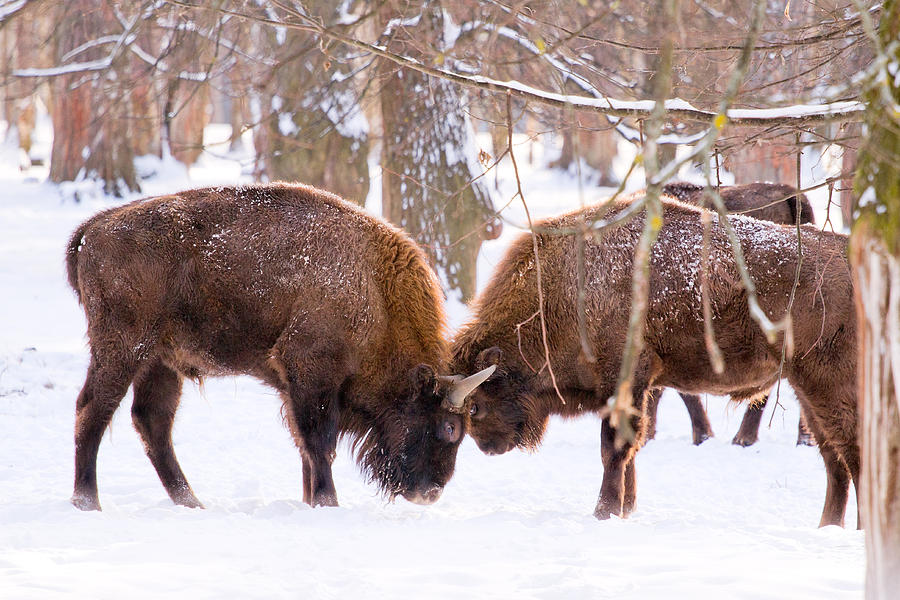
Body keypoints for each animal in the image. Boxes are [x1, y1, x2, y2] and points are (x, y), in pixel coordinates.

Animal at [67, 182, 496, 510]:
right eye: (449, 427)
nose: (431, 492)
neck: (374, 288)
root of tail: (94, 228)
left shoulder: (296, 388)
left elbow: (306, 448)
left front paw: (310, 501)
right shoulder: (311, 374)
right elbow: (319, 443)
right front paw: (327, 502)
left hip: (160, 362)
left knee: (152, 422)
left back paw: (191, 502)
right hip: (123, 349)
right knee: (94, 411)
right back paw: (88, 502)